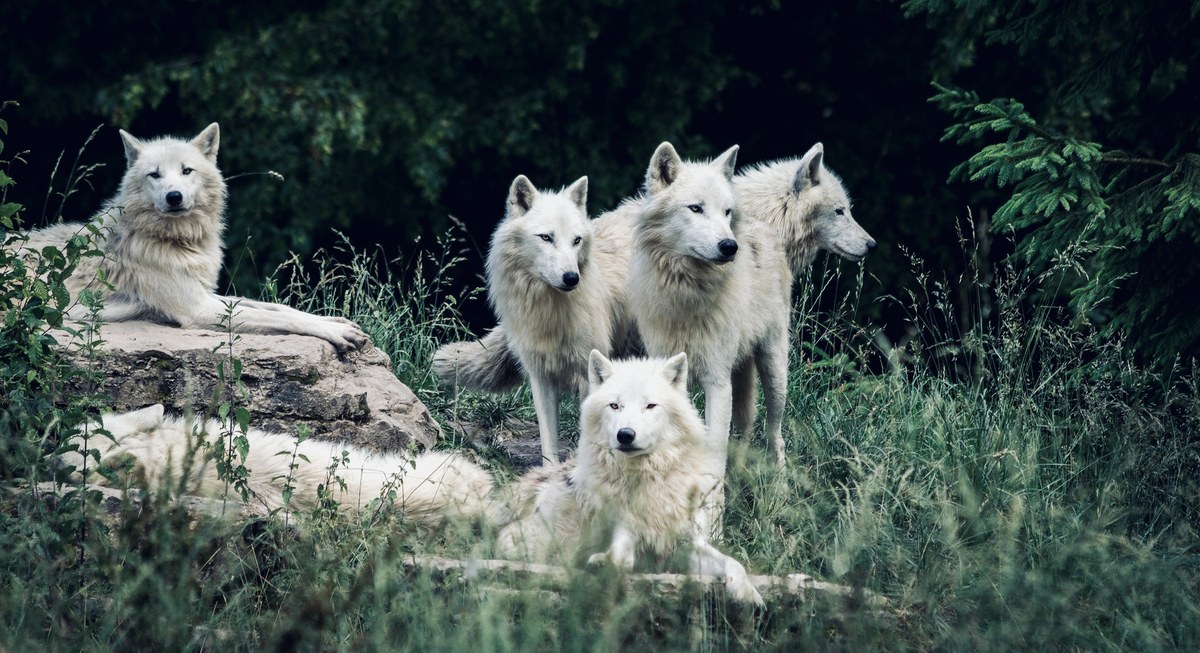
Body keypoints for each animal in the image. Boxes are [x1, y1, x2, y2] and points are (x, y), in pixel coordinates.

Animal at [14, 124, 367, 355]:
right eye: (155, 175)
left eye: (187, 171)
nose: (174, 197)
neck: (178, 243)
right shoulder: (197, 308)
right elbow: (273, 315)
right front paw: (335, 331)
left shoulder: (207, 294)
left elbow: (278, 307)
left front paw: (336, 321)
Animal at [492, 352, 763, 607]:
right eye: (615, 406)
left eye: (650, 406)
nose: (625, 435)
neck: (650, 479)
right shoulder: (625, 529)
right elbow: (621, 555)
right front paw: (604, 563)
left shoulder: (688, 546)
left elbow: (733, 563)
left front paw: (749, 595)